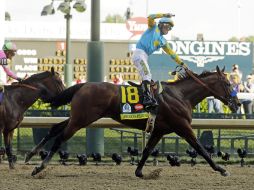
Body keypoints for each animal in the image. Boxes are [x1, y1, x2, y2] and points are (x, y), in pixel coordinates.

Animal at [29, 66, 240, 177]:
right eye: (228, 83)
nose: (237, 103)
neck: (180, 96)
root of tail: (83, 85)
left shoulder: (159, 130)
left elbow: (147, 150)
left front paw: (139, 171)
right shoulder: (183, 127)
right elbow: (201, 148)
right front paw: (221, 169)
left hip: (78, 117)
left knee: (55, 128)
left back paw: (31, 154)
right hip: (82, 119)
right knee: (60, 138)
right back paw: (40, 167)